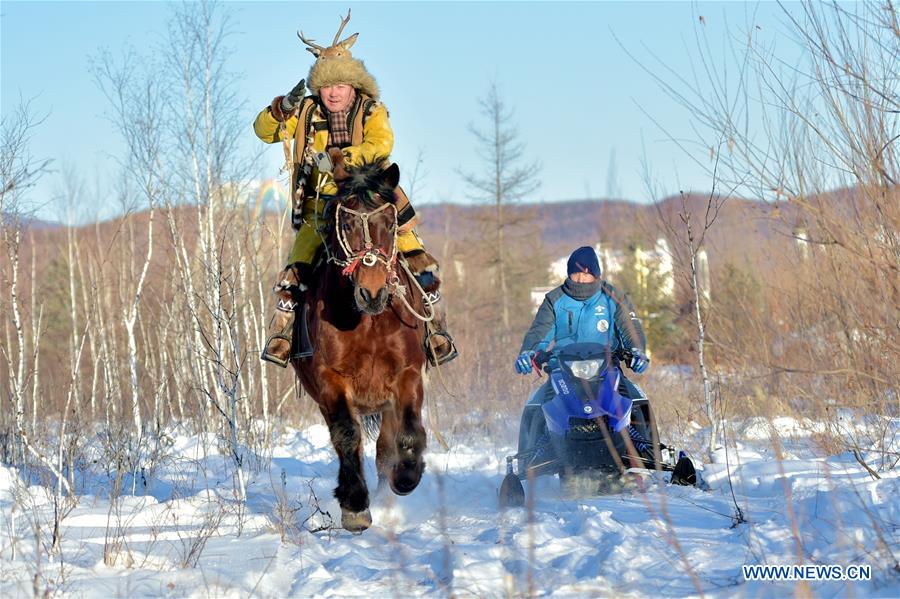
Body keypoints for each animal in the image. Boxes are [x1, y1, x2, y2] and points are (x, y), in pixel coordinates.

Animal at [294, 162, 430, 532]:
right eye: (346, 224)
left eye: (390, 223)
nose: (372, 292)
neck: (368, 322)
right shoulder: (331, 380)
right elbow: (346, 435)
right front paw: (355, 505)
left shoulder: (407, 374)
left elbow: (408, 433)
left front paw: (406, 477)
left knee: (385, 446)